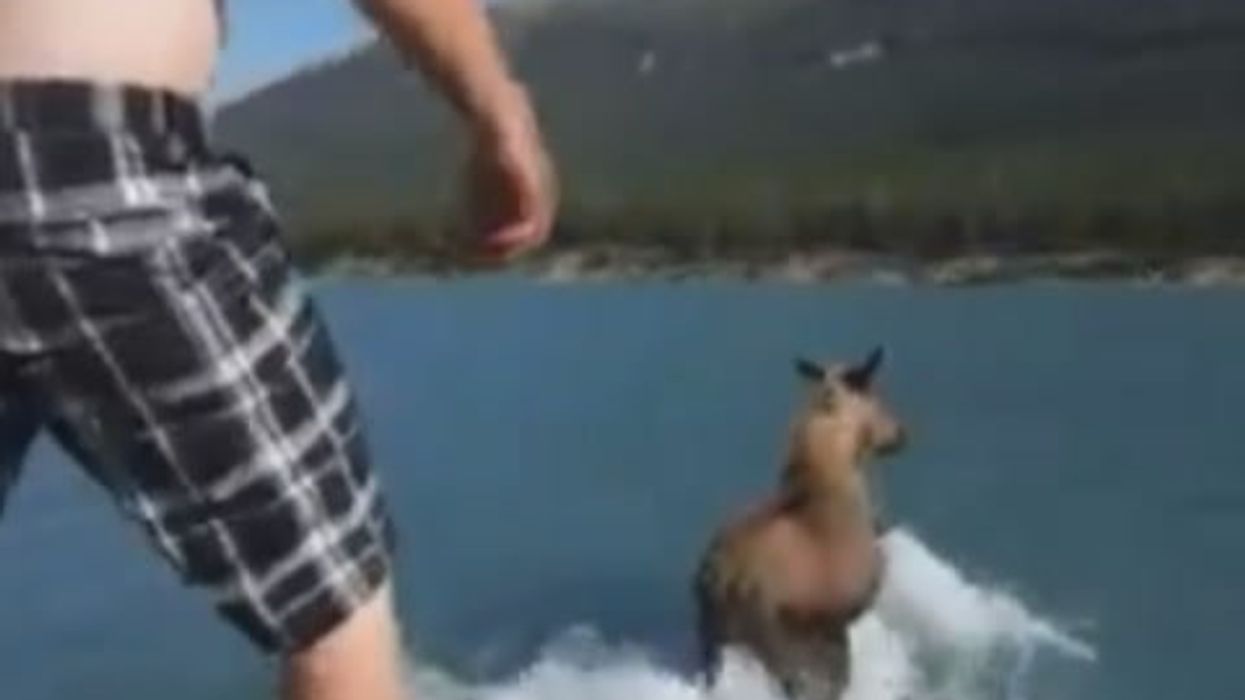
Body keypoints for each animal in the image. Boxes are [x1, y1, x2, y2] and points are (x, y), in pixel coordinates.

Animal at [693, 348, 906, 700]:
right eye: (875, 393)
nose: (902, 433)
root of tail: (715, 579)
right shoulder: (835, 621)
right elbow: (834, 681)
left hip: (710, 641)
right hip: (767, 639)